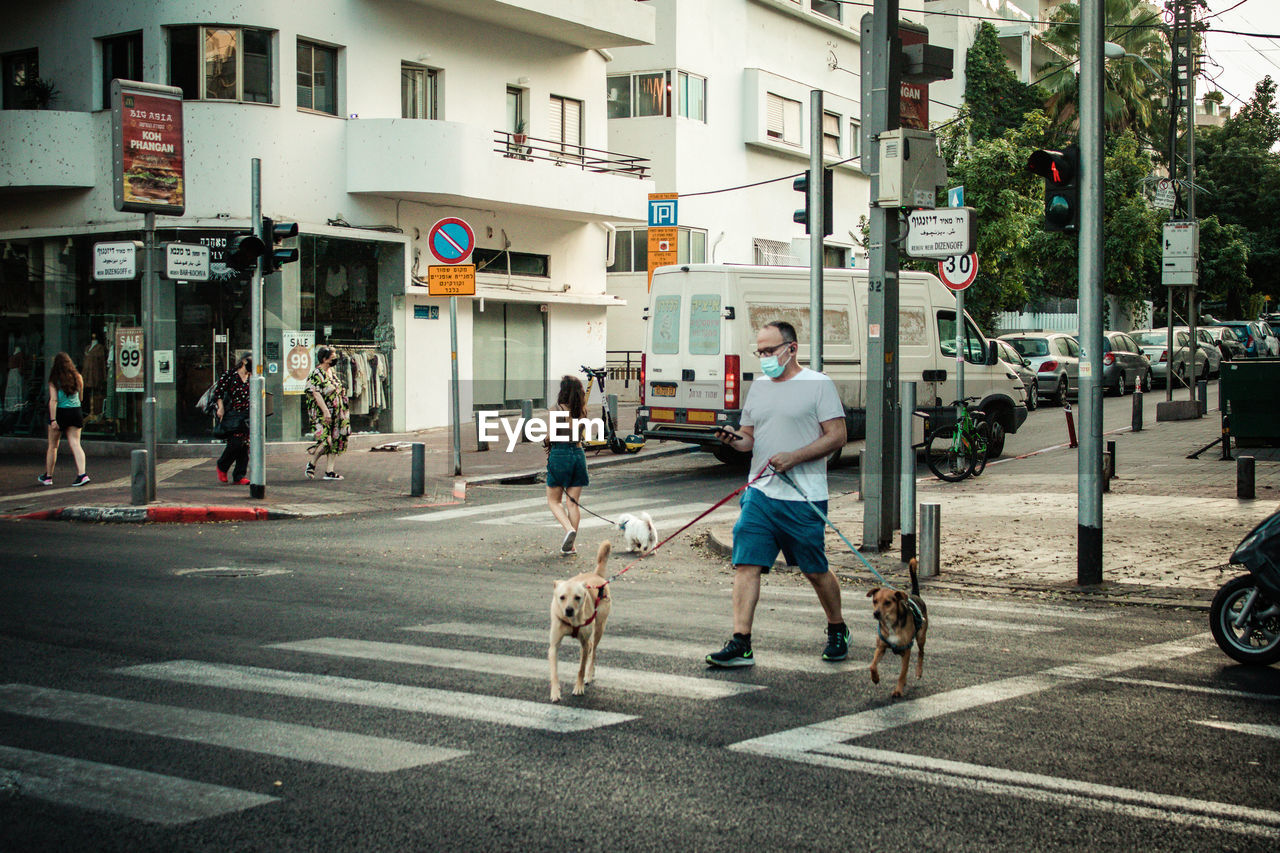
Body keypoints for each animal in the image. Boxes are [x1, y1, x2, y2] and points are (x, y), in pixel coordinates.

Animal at [547, 540, 611, 701]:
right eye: (562, 597)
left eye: (577, 597)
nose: (569, 610)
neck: (571, 621)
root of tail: (597, 575)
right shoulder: (554, 645)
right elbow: (554, 672)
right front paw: (555, 692)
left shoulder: (583, 644)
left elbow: (580, 669)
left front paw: (579, 687)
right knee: (590, 646)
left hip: (599, 627)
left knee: (592, 651)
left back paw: (589, 674)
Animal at [870, 555, 931, 696]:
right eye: (875, 601)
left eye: (887, 602)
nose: (876, 613)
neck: (892, 624)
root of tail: (915, 594)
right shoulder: (881, 647)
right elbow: (872, 665)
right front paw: (875, 678)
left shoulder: (906, 650)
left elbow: (902, 673)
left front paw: (898, 690)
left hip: (921, 637)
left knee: (921, 653)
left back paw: (918, 672)